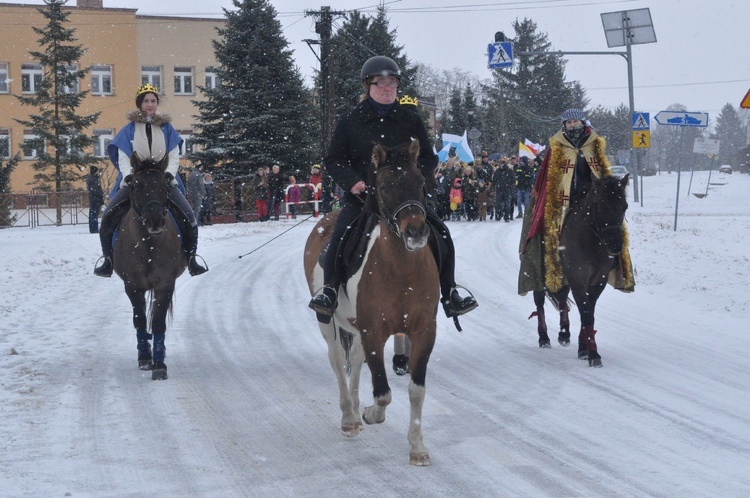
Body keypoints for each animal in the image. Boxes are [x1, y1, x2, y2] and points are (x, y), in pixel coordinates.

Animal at [113, 156, 187, 382]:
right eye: (137, 185)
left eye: (165, 185)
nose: (155, 220)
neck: (148, 244)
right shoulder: (132, 286)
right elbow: (139, 320)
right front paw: (145, 358)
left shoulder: (165, 284)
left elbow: (158, 323)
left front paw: (159, 364)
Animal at [304, 141, 444, 466]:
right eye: (385, 186)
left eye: (420, 181)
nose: (416, 232)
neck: (401, 270)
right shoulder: (373, 331)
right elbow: (382, 392)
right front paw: (370, 413)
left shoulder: (423, 331)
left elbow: (416, 391)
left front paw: (417, 447)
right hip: (328, 322)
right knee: (337, 360)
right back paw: (349, 417)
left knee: (354, 360)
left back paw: (355, 410)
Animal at [540, 174, 636, 366]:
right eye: (602, 205)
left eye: (624, 206)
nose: (616, 246)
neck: (591, 240)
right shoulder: (577, 278)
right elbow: (586, 313)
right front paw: (593, 354)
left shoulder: (598, 280)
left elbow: (589, 310)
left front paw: (583, 347)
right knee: (539, 300)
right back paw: (544, 337)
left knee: (562, 297)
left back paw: (564, 333)